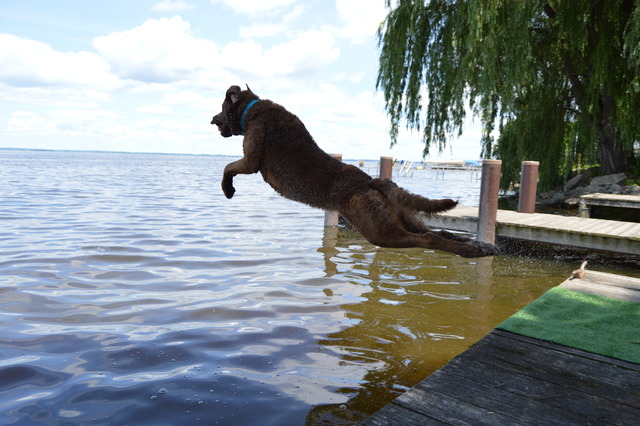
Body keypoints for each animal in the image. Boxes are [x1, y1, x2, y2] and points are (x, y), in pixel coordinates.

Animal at [211, 83, 500, 256]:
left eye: (222, 107)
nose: (212, 119)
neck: (252, 111)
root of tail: (373, 182)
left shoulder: (251, 160)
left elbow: (228, 167)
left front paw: (228, 190)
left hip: (379, 232)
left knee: (429, 240)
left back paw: (470, 251)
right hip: (401, 217)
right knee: (435, 231)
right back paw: (480, 247)